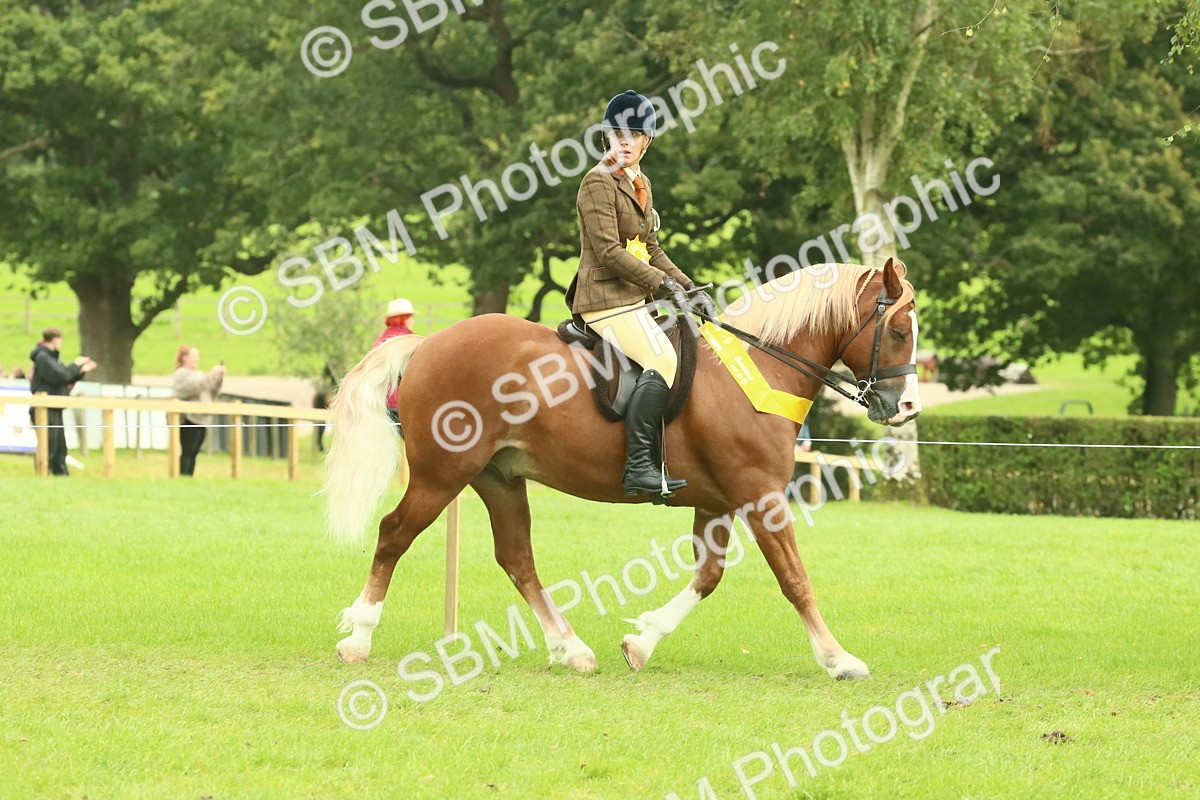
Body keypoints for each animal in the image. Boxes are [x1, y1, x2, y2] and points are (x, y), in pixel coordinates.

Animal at [323, 257, 921, 679]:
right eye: (897, 331)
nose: (907, 408)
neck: (758, 371)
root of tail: (427, 344)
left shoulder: (718, 501)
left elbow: (708, 576)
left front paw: (642, 641)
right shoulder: (761, 495)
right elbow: (794, 579)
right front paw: (839, 660)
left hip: (499, 478)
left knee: (517, 559)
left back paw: (571, 649)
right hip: (441, 475)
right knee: (393, 534)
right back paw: (358, 638)